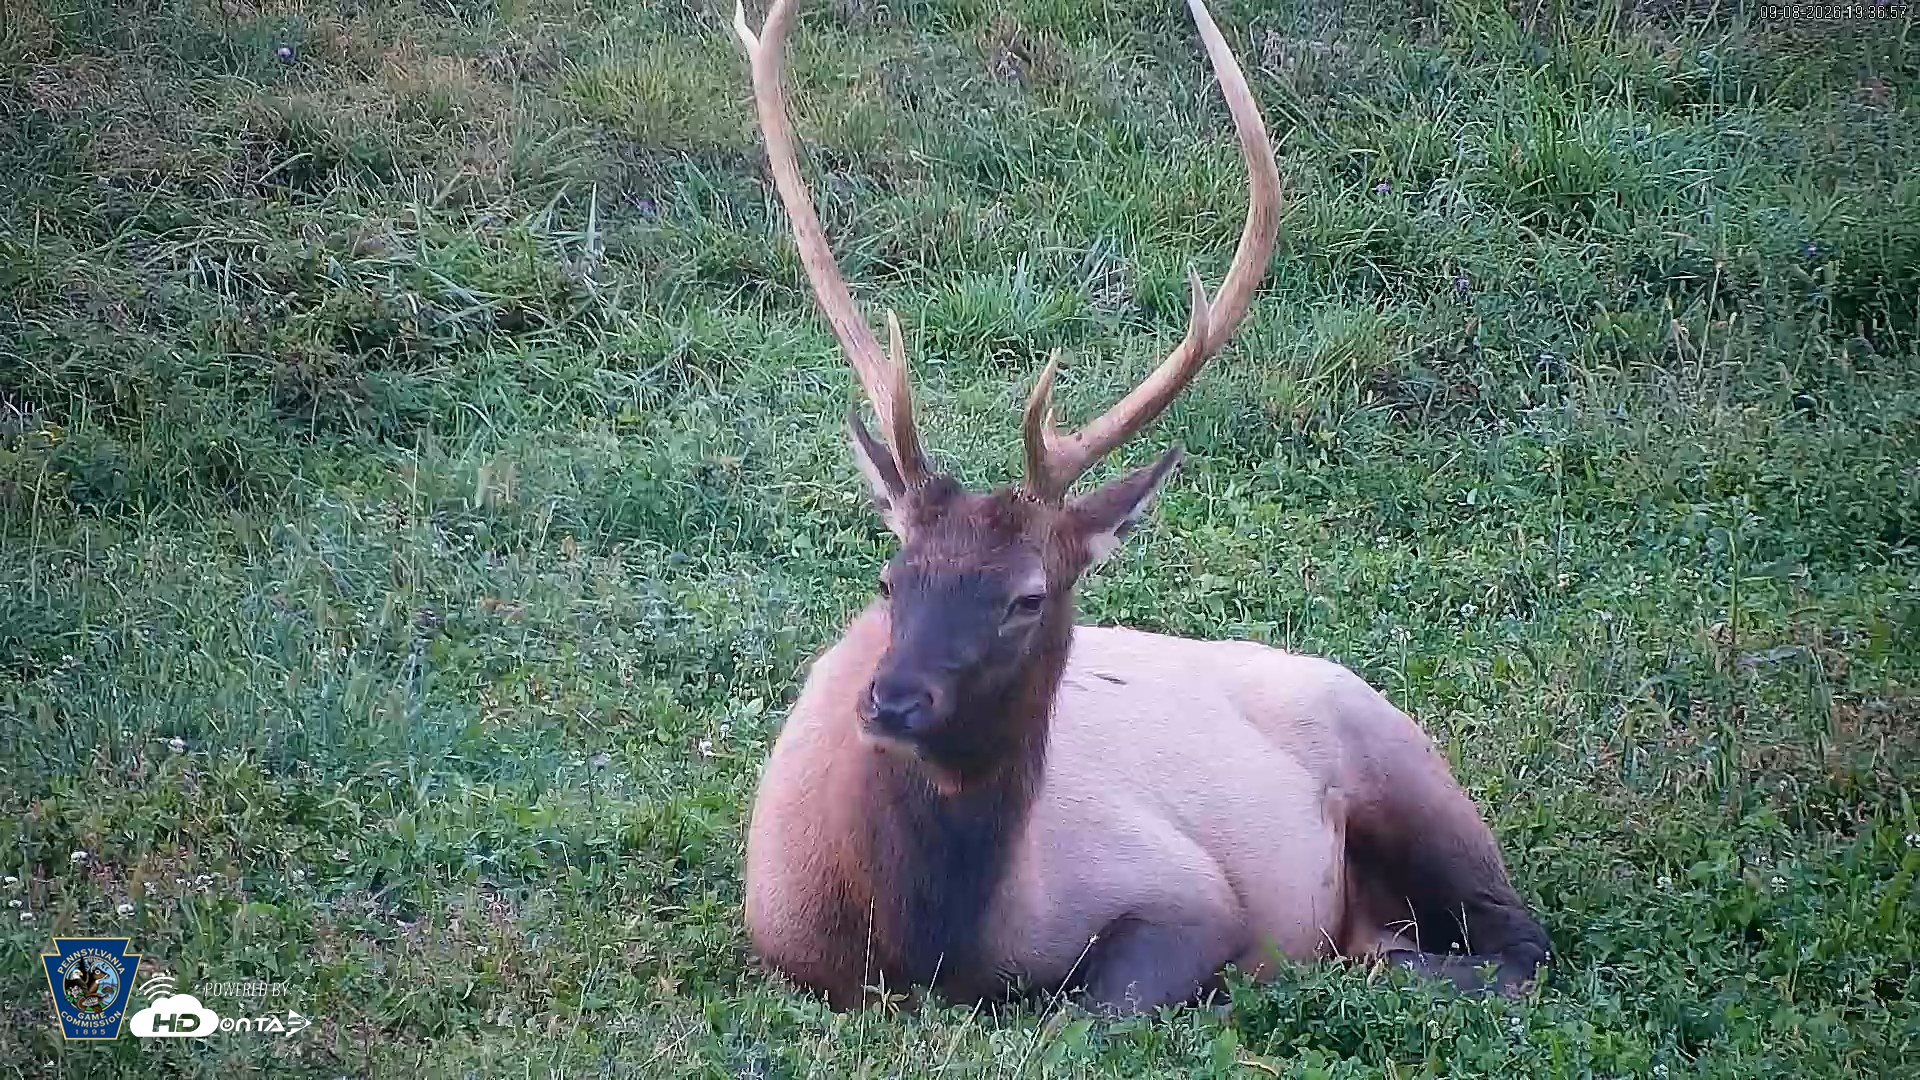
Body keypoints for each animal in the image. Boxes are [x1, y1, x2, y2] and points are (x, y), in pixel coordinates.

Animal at [733, 0, 1551, 1016]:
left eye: (1027, 596)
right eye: (891, 577)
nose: (892, 700)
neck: (928, 938)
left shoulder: (1187, 892)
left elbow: (1093, 1010)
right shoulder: (783, 942)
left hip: (1410, 776)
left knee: (1519, 941)